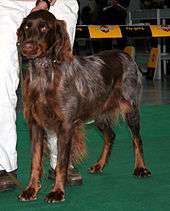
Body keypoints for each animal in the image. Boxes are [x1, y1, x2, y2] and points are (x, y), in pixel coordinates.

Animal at [16, 9, 150, 203]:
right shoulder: (35, 125)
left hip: (130, 109)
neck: (45, 75)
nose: (27, 47)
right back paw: (99, 165)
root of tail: (126, 55)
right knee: (111, 135)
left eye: (44, 27)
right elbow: (35, 161)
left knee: (136, 139)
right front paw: (31, 189)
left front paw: (57, 192)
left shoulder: (65, 126)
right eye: (27, 27)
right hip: (98, 115)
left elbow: (62, 162)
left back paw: (140, 168)